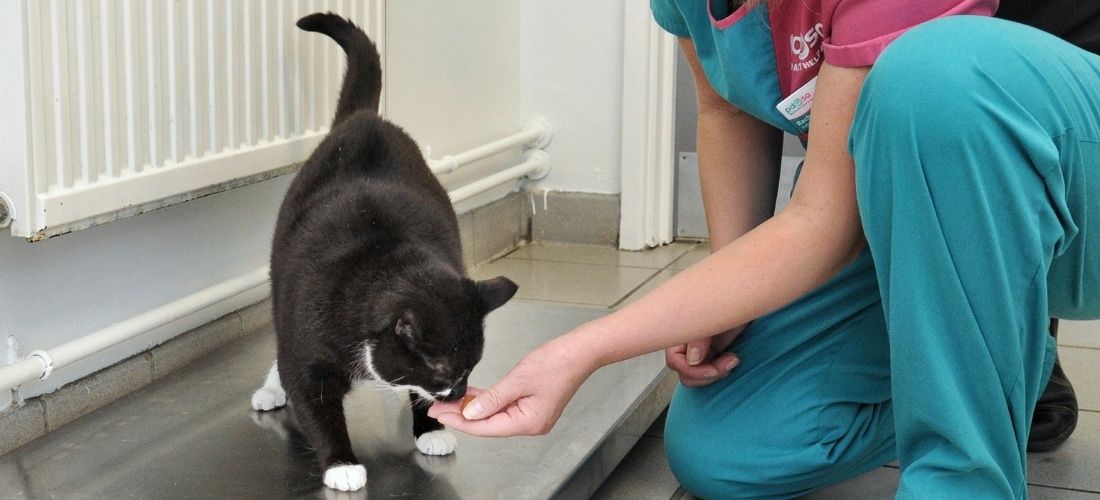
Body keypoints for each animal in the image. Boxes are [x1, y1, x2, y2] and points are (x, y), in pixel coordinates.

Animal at [253, 12, 519, 492]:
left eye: (472, 367)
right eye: (442, 372)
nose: (455, 394)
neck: (385, 257)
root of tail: (363, 119)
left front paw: (430, 427)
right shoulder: (308, 339)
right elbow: (311, 398)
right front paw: (341, 463)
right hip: (282, 281)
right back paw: (271, 387)